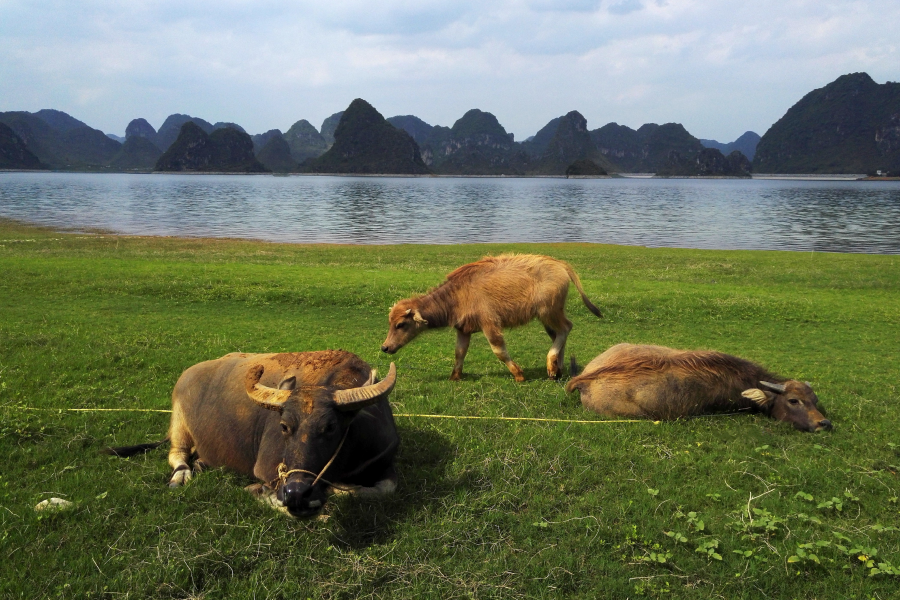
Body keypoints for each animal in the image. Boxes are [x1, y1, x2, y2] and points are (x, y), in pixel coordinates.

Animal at [107, 350, 400, 516]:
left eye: (331, 427)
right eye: (284, 426)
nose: (297, 494)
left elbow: (384, 489)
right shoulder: (269, 470)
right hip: (179, 422)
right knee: (177, 453)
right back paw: (182, 475)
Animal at [382, 253, 600, 380]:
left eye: (401, 324)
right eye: (390, 322)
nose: (385, 347)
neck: (458, 295)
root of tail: (559, 264)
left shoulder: (490, 325)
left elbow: (499, 350)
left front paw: (518, 374)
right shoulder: (463, 330)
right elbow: (459, 352)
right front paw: (455, 376)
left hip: (548, 311)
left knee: (566, 328)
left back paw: (552, 365)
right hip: (547, 316)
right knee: (557, 334)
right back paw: (556, 369)